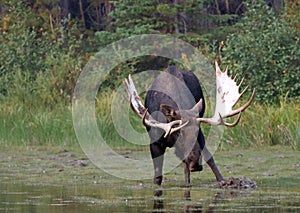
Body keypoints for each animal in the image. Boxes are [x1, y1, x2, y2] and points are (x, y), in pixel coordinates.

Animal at [124, 61, 255, 185]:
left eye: (196, 131)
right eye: (179, 133)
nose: (196, 164)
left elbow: (207, 159)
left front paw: (223, 181)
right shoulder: (155, 142)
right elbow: (157, 178)